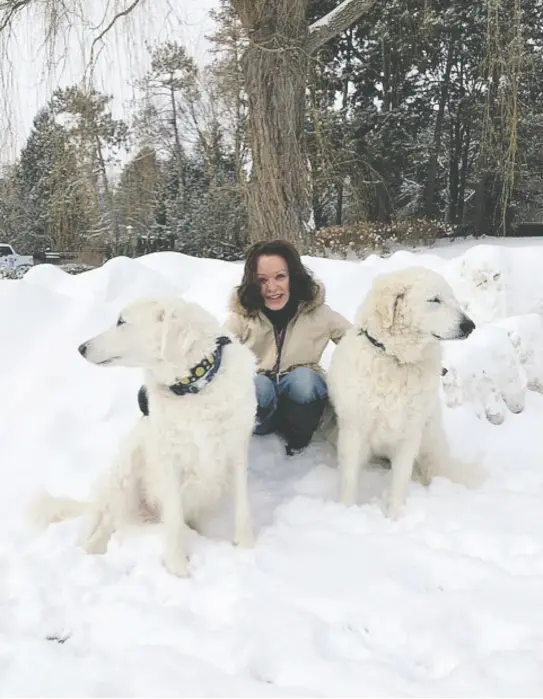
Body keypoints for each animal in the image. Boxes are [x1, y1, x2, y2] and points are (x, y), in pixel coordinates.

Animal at [28, 296, 258, 576]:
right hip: (127, 470)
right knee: (106, 522)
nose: (81, 348)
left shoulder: (236, 451)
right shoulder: (168, 461)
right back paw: (93, 553)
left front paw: (247, 548)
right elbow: (173, 519)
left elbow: (243, 508)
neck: (194, 388)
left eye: (121, 321)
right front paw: (177, 568)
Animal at [328, 268, 476, 520]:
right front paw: (346, 512)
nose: (470, 325)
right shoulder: (354, 429)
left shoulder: (410, 434)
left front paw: (395, 518)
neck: (396, 360)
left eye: (453, 299)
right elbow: (349, 479)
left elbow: (399, 481)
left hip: (429, 441)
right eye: (434, 300)